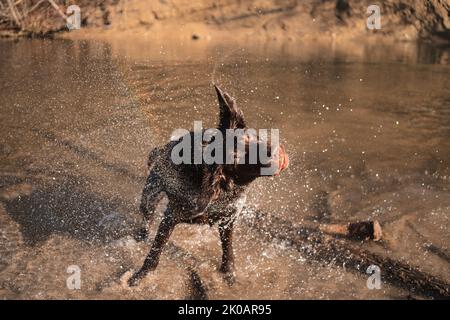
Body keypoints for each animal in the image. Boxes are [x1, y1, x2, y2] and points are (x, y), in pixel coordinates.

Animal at [128, 85, 288, 284]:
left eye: (252, 137)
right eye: (238, 157)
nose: (275, 151)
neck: (223, 191)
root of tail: (162, 148)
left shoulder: (228, 219)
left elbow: (228, 252)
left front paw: (229, 273)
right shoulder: (171, 216)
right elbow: (155, 252)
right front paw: (141, 275)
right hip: (150, 196)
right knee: (146, 219)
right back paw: (141, 236)